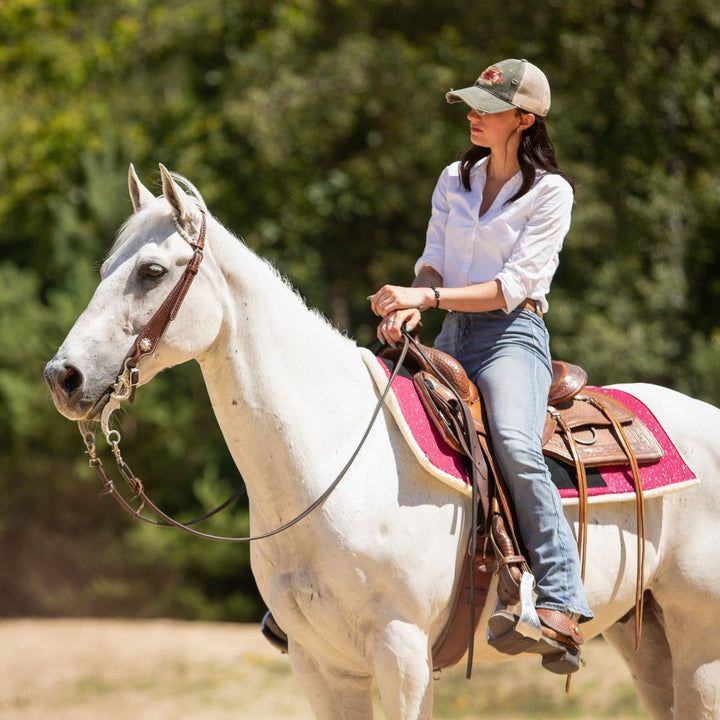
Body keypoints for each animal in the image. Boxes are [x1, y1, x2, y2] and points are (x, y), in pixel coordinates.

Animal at [43, 166, 720, 716]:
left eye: (151, 271)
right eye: (105, 270)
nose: (63, 377)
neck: (330, 465)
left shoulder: (402, 655)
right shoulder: (320, 665)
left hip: (699, 643)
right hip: (647, 639)